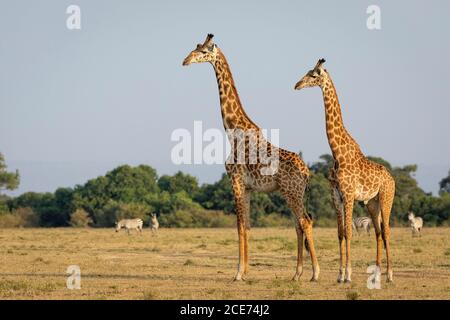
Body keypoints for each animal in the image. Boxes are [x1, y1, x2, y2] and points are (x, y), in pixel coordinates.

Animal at [183, 33, 320, 282]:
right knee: (300, 223)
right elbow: (247, 226)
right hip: (293, 193)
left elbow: (238, 226)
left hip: (292, 192)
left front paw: (237, 273)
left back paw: (315, 273)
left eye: (204, 51)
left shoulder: (235, 181)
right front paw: (245, 270)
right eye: (194, 48)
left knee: (304, 221)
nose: (185, 61)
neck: (233, 131)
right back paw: (297, 273)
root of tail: (307, 172)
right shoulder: (247, 188)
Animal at [296, 58, 394, 282]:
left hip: (386, 198)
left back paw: (390, 275)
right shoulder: (336, 196)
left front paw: (348, 275)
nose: (297, 85)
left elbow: (349, 233)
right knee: (378, 232)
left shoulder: (349, 195)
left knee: (386, 231)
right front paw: (340, 275)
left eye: (313, 74)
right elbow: (340, 233)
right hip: (372, 203)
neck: (337, 153)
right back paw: (376, 274)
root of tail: (392, 178)